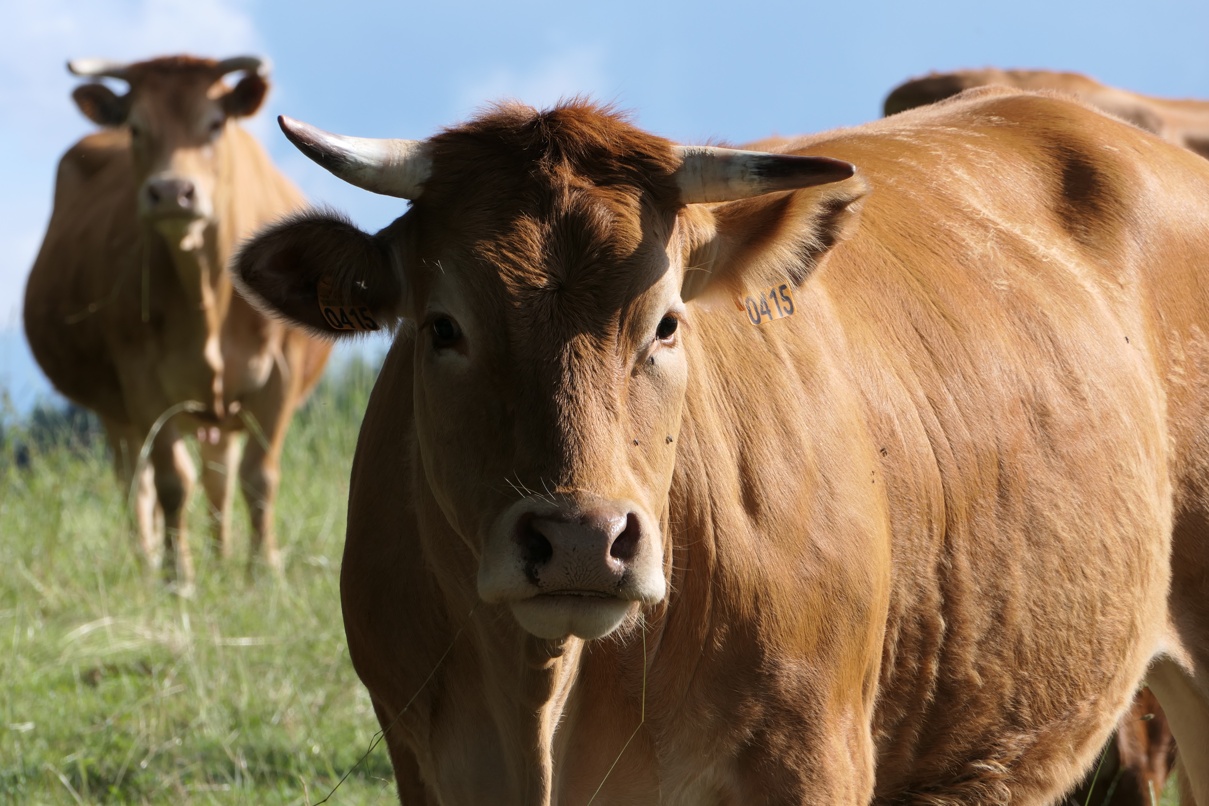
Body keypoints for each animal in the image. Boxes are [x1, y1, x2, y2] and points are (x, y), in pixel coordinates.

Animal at [24, 55, 331, 592]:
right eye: (135, 127)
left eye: (214, 124)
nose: (171, 191)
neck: (207, 290)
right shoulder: (142, 382)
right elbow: (170, 481)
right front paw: (177, 577)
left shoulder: (280, 374)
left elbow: (259, 476)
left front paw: (262, 572)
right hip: (116, 411)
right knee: (139, 483)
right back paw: (150, 563)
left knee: (218, 478)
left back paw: (223, 557)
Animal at [233, 89, 1209, 803]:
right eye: (441, 328)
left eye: (665, 322)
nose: (582, 539)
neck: (544, 705)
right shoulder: (425, 763)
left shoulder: (811, 762)